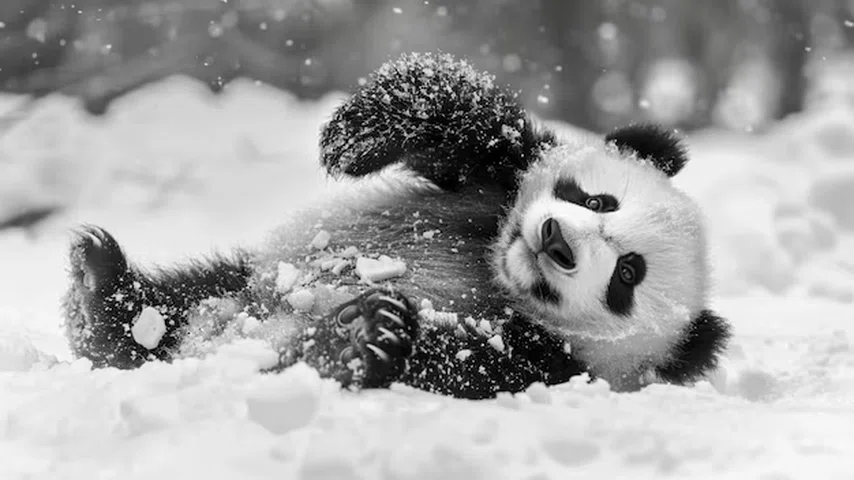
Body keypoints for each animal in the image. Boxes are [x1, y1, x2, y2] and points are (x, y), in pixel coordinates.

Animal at [61, 52, 731, 399]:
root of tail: (205, 347)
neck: (492, 267)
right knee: (174, 300)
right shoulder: (495, 184)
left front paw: (363, 340)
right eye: (597, 200)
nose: (556, 242)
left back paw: (352, 342)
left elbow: (460, 363)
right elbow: (467, 120)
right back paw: (102, 295)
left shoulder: (551, 364)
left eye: (626, 277)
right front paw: (352, 140)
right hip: (243, 281)